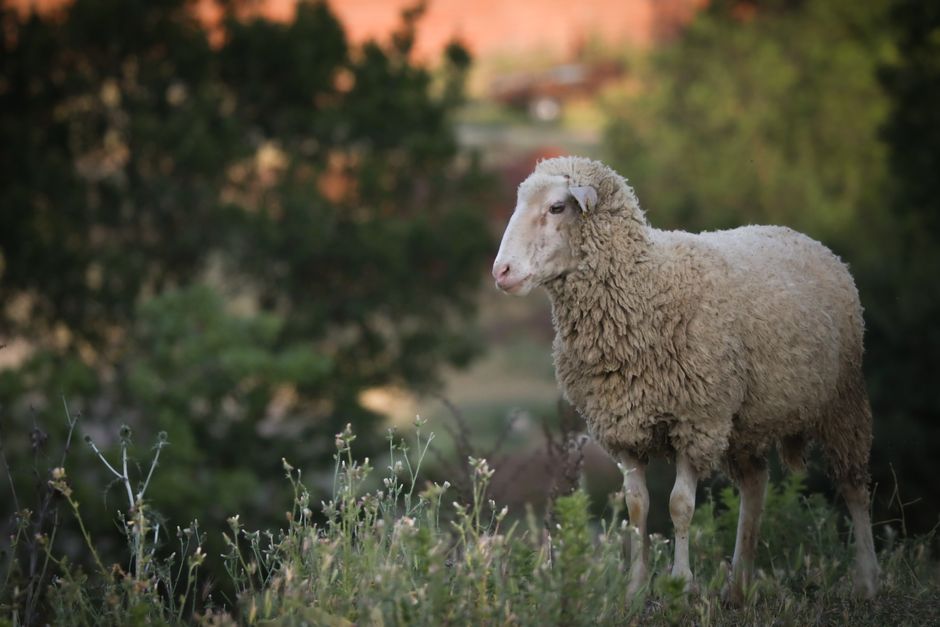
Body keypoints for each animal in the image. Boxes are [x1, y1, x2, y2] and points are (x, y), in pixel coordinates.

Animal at [492, 156, 879, 603]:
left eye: (557, 207)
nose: (501, 271)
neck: (646, 287)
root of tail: (805, 238)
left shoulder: (696, 421)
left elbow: (679, 505)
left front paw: (680, 583)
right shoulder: (624, 427)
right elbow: (637, 506)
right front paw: (635, 588)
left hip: (841, 401)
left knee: (853, 485)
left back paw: (868, 580)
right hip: (744, 420)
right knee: (755, 485)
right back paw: (738, 586)